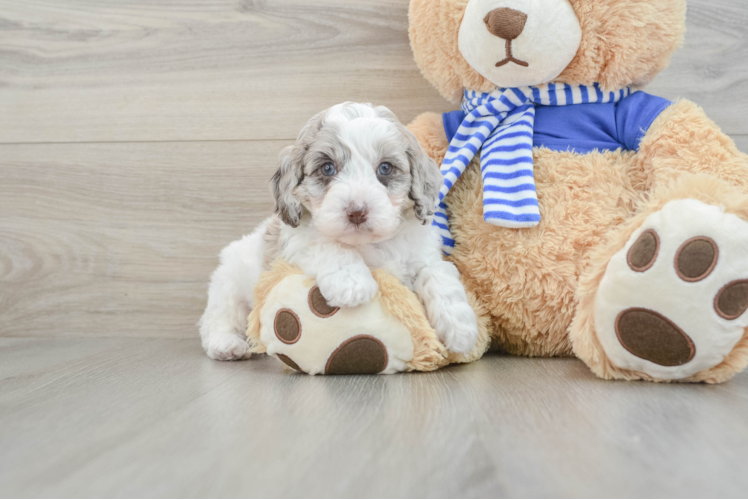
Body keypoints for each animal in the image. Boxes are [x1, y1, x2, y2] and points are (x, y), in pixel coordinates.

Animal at [199, 102, 480, 360]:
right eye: (327, 168)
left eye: (385, 168)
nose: (357, 211)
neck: (369, 243)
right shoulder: (295, 243)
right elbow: (328, 244)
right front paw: (352, 283)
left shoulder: (423, 255)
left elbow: (437, 274)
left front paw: (461, 328)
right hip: (229, 284)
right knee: (218, 319)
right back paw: (227, 344)